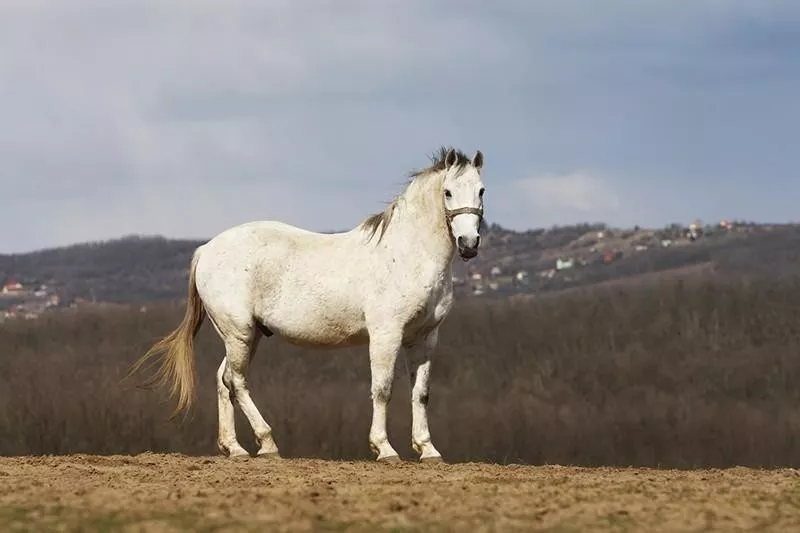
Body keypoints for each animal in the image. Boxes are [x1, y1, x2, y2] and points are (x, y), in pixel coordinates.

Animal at [128, 147, 484, 462]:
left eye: (481, 190)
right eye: (448, 192)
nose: (469, 244)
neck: (408, 253)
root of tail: (206, 250)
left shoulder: (424, 337)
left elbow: (421, 393)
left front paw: (428, 450)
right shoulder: (386, 334)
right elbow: (382, 389)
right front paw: (384, 449)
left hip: (247, 335)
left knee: (223, 379)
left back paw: (235, 448)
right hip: (239, 332)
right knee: (237, 381)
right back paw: (267, 443)